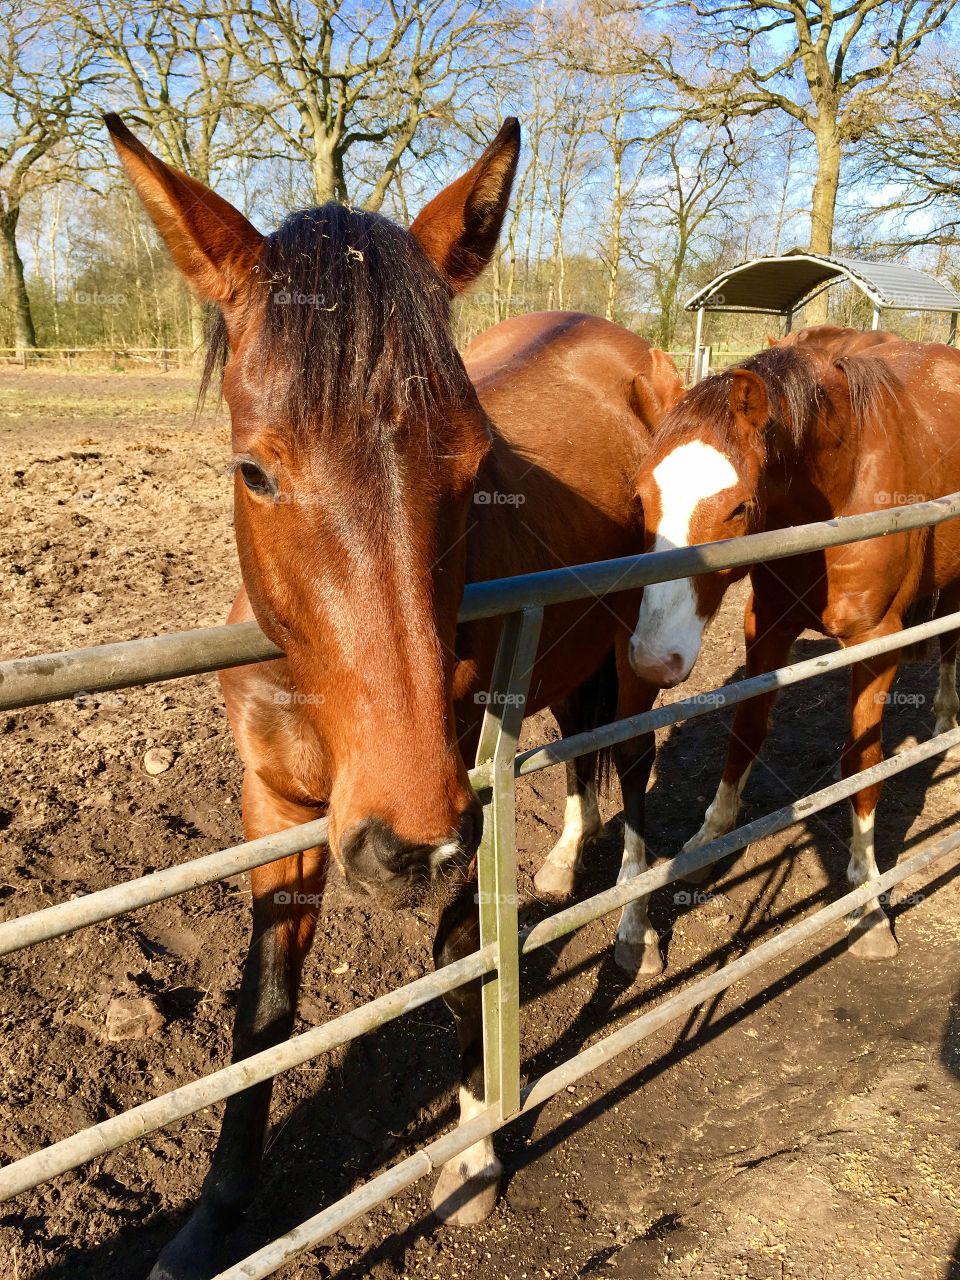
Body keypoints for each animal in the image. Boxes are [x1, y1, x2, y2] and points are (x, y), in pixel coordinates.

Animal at [104, 112, 680, 1280]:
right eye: (255, 470)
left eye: (472, 464)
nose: (402, 846)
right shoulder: (275, 805)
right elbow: (264, 1011)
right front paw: (213, 1219)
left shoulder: (460, 791)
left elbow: (462, 959)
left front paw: (470, 1155)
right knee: (589, 753)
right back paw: (565, 867)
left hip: (630, 641)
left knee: (636, 766)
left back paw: (634, 930)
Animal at [627, 330, 960, 962]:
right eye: (640, 500)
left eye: (738, 508)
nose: (653, 660)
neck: (843, 484)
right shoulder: (768, 624)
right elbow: (746, 731)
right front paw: (709, 838)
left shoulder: (876, 644)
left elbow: (862, 763)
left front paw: (866, 900)